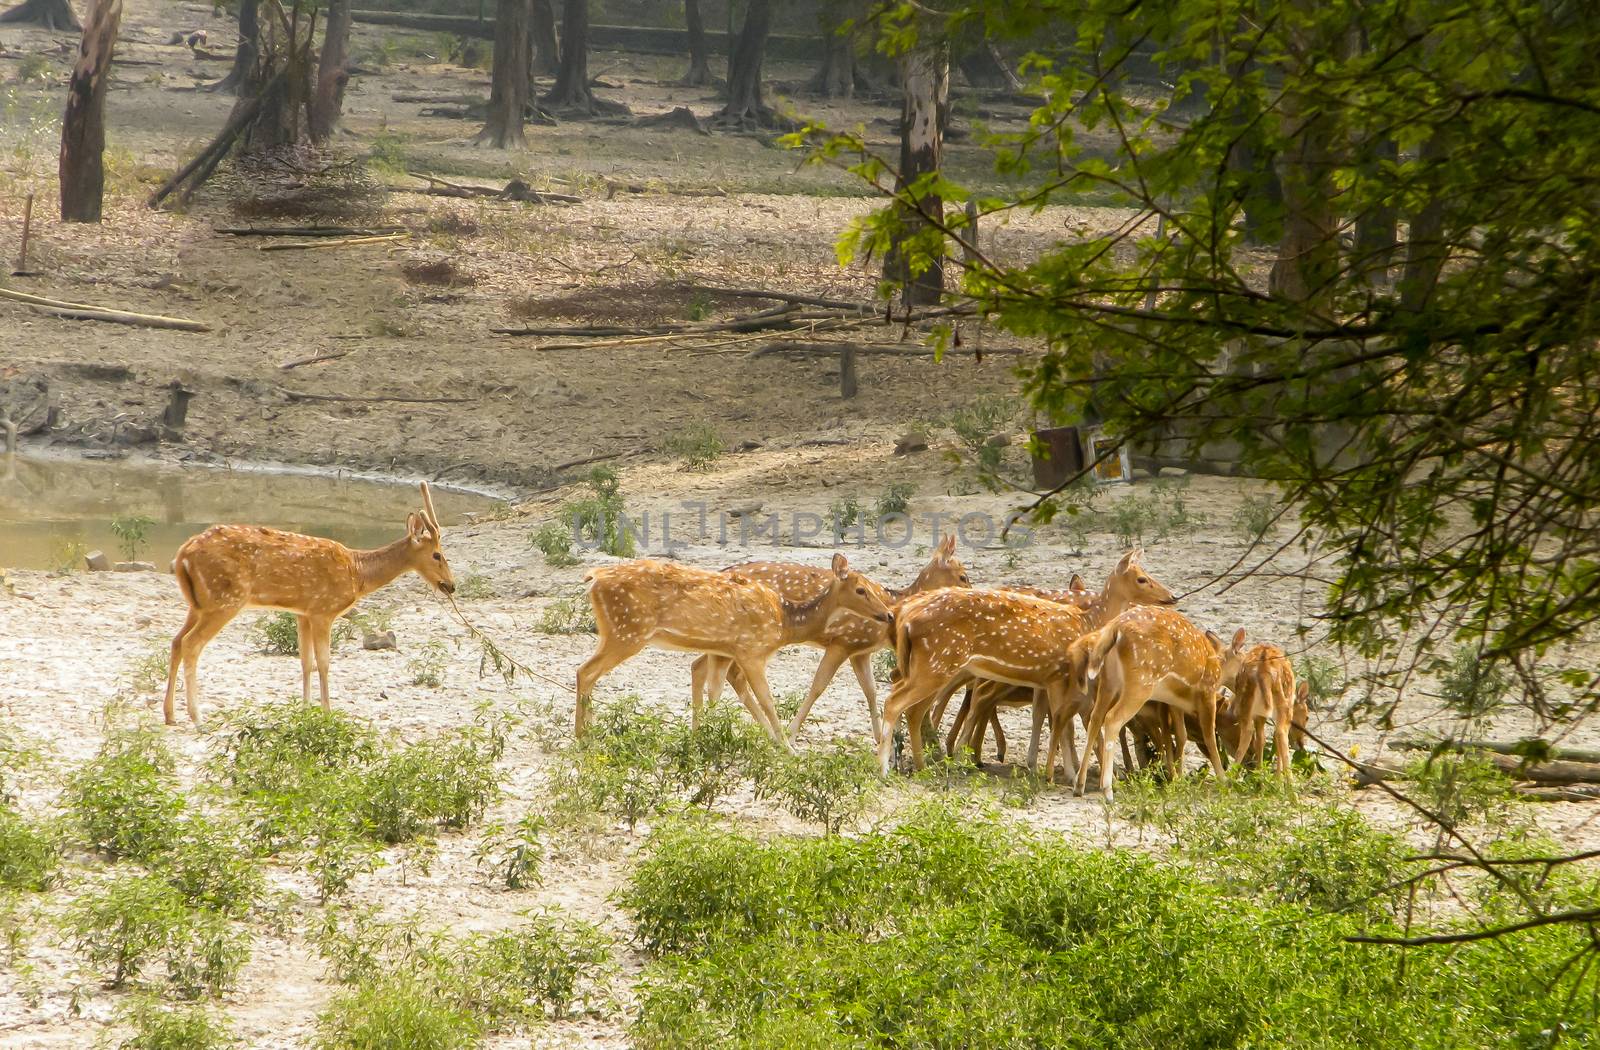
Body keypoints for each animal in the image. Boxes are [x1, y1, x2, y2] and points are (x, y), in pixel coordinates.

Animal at [166, 480, 454, 726]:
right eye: (437, 555)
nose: (451, 585)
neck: (357, 573)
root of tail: (182, 555)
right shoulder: (323, 610)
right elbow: (323, 662)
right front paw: (327, 712)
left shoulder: (302, 612)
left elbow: (305, 661)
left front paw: (304, 710)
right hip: (225, 599)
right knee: (192, 643)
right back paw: (197, 717)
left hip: (199, 604)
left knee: (176, 641)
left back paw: (170, 714)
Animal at [579, 553, 902, 742]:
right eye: (861, 590)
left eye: (873, 588)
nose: (888, 614)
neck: (785, 622)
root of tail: (594, 577)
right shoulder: (752, 650)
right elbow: (767, 699)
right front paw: (785, 746)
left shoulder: (728, 651)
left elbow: (720, 693)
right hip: (628, 630)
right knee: (585, 672)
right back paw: (582, 736)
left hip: (616, 632)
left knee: (587, 673)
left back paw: (588, 732)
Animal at [691, 528, 966, 742]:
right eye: (963, 576)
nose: (971, 594)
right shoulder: (843, 642)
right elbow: (818, 686)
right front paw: (792, 733)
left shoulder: (860, 651)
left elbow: (871, 690)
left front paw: (879, 739)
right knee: (726, 673)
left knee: (701, 665)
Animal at [1075, 601, 1248, 800]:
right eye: (1243, 662)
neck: (1218, 668)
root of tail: (1115, 628)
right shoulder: (1207, 692)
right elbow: (1209, 735)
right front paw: (1223, 779)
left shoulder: (1174, 702)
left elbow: (1181, 735)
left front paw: (1178, 778)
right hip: (1140, 682)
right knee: (1112, 719)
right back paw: (1107, 790)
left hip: (1109, 681)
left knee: (1095, 718)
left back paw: (1079, 785)